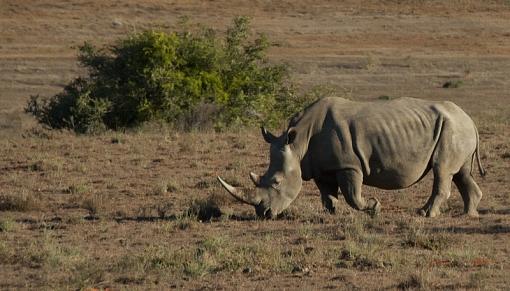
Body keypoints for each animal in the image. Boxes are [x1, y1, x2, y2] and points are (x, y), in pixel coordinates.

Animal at [216, 98, 486, 219]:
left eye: (276, 182)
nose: (264, 214)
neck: (298, 142)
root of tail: (471, 120)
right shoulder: (321, 166)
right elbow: (327, 194)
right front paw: (331, 214)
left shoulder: (349, 165)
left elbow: (352, 195)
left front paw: (374, 207)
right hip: (455, 129)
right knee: (460, 173)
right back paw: (468, 215)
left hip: (453, 128)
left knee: (443, 171)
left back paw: (425, 214)